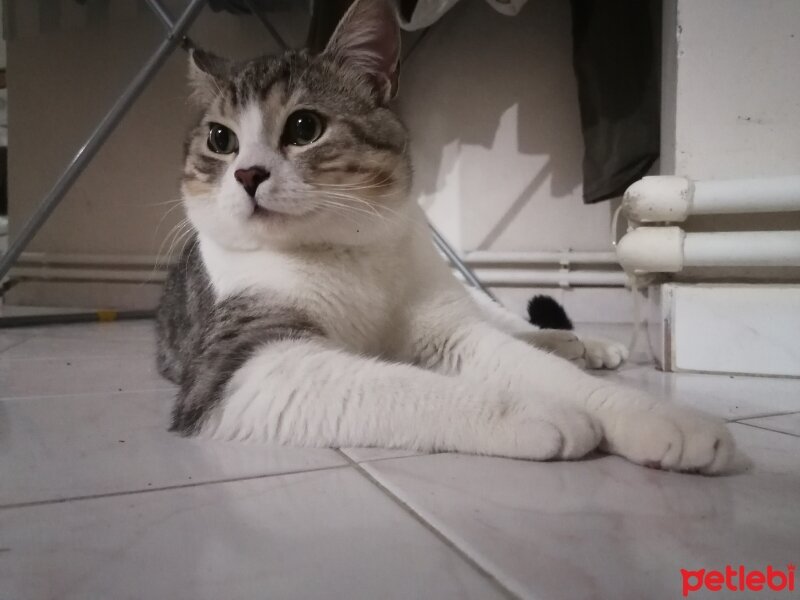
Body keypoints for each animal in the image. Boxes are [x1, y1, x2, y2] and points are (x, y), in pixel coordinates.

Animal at [153, 0, 736, 474]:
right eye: (220, 139)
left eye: (303, 128)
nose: (247, 174)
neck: (342, 251)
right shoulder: (242, 366)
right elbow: (398, 384)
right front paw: (543, 412)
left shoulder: (448, 329)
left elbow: (534, 367)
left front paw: (666, 420)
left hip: (463, 293)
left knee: (510, 324)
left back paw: (581, 343)